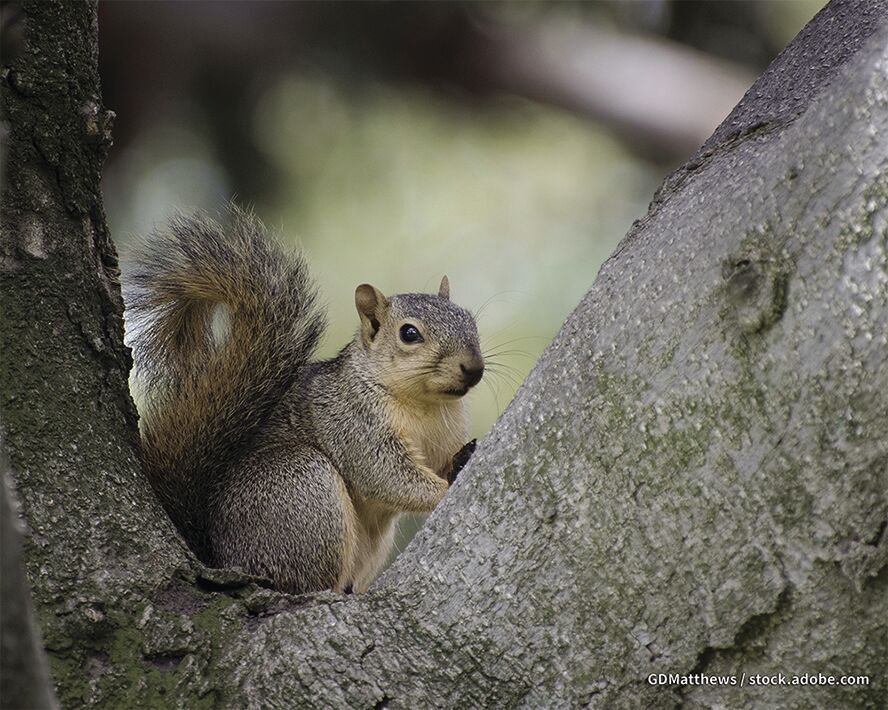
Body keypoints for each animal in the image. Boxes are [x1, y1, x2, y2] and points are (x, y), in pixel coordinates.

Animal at [124, 207, 483, 594]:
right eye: (409, 333)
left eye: (470, 321)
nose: (474, 368)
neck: (426, 405)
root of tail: (220, 556)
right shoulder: (352, 422)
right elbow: (386, 475)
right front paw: (444, 488)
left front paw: (461, 460)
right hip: (301, 488)